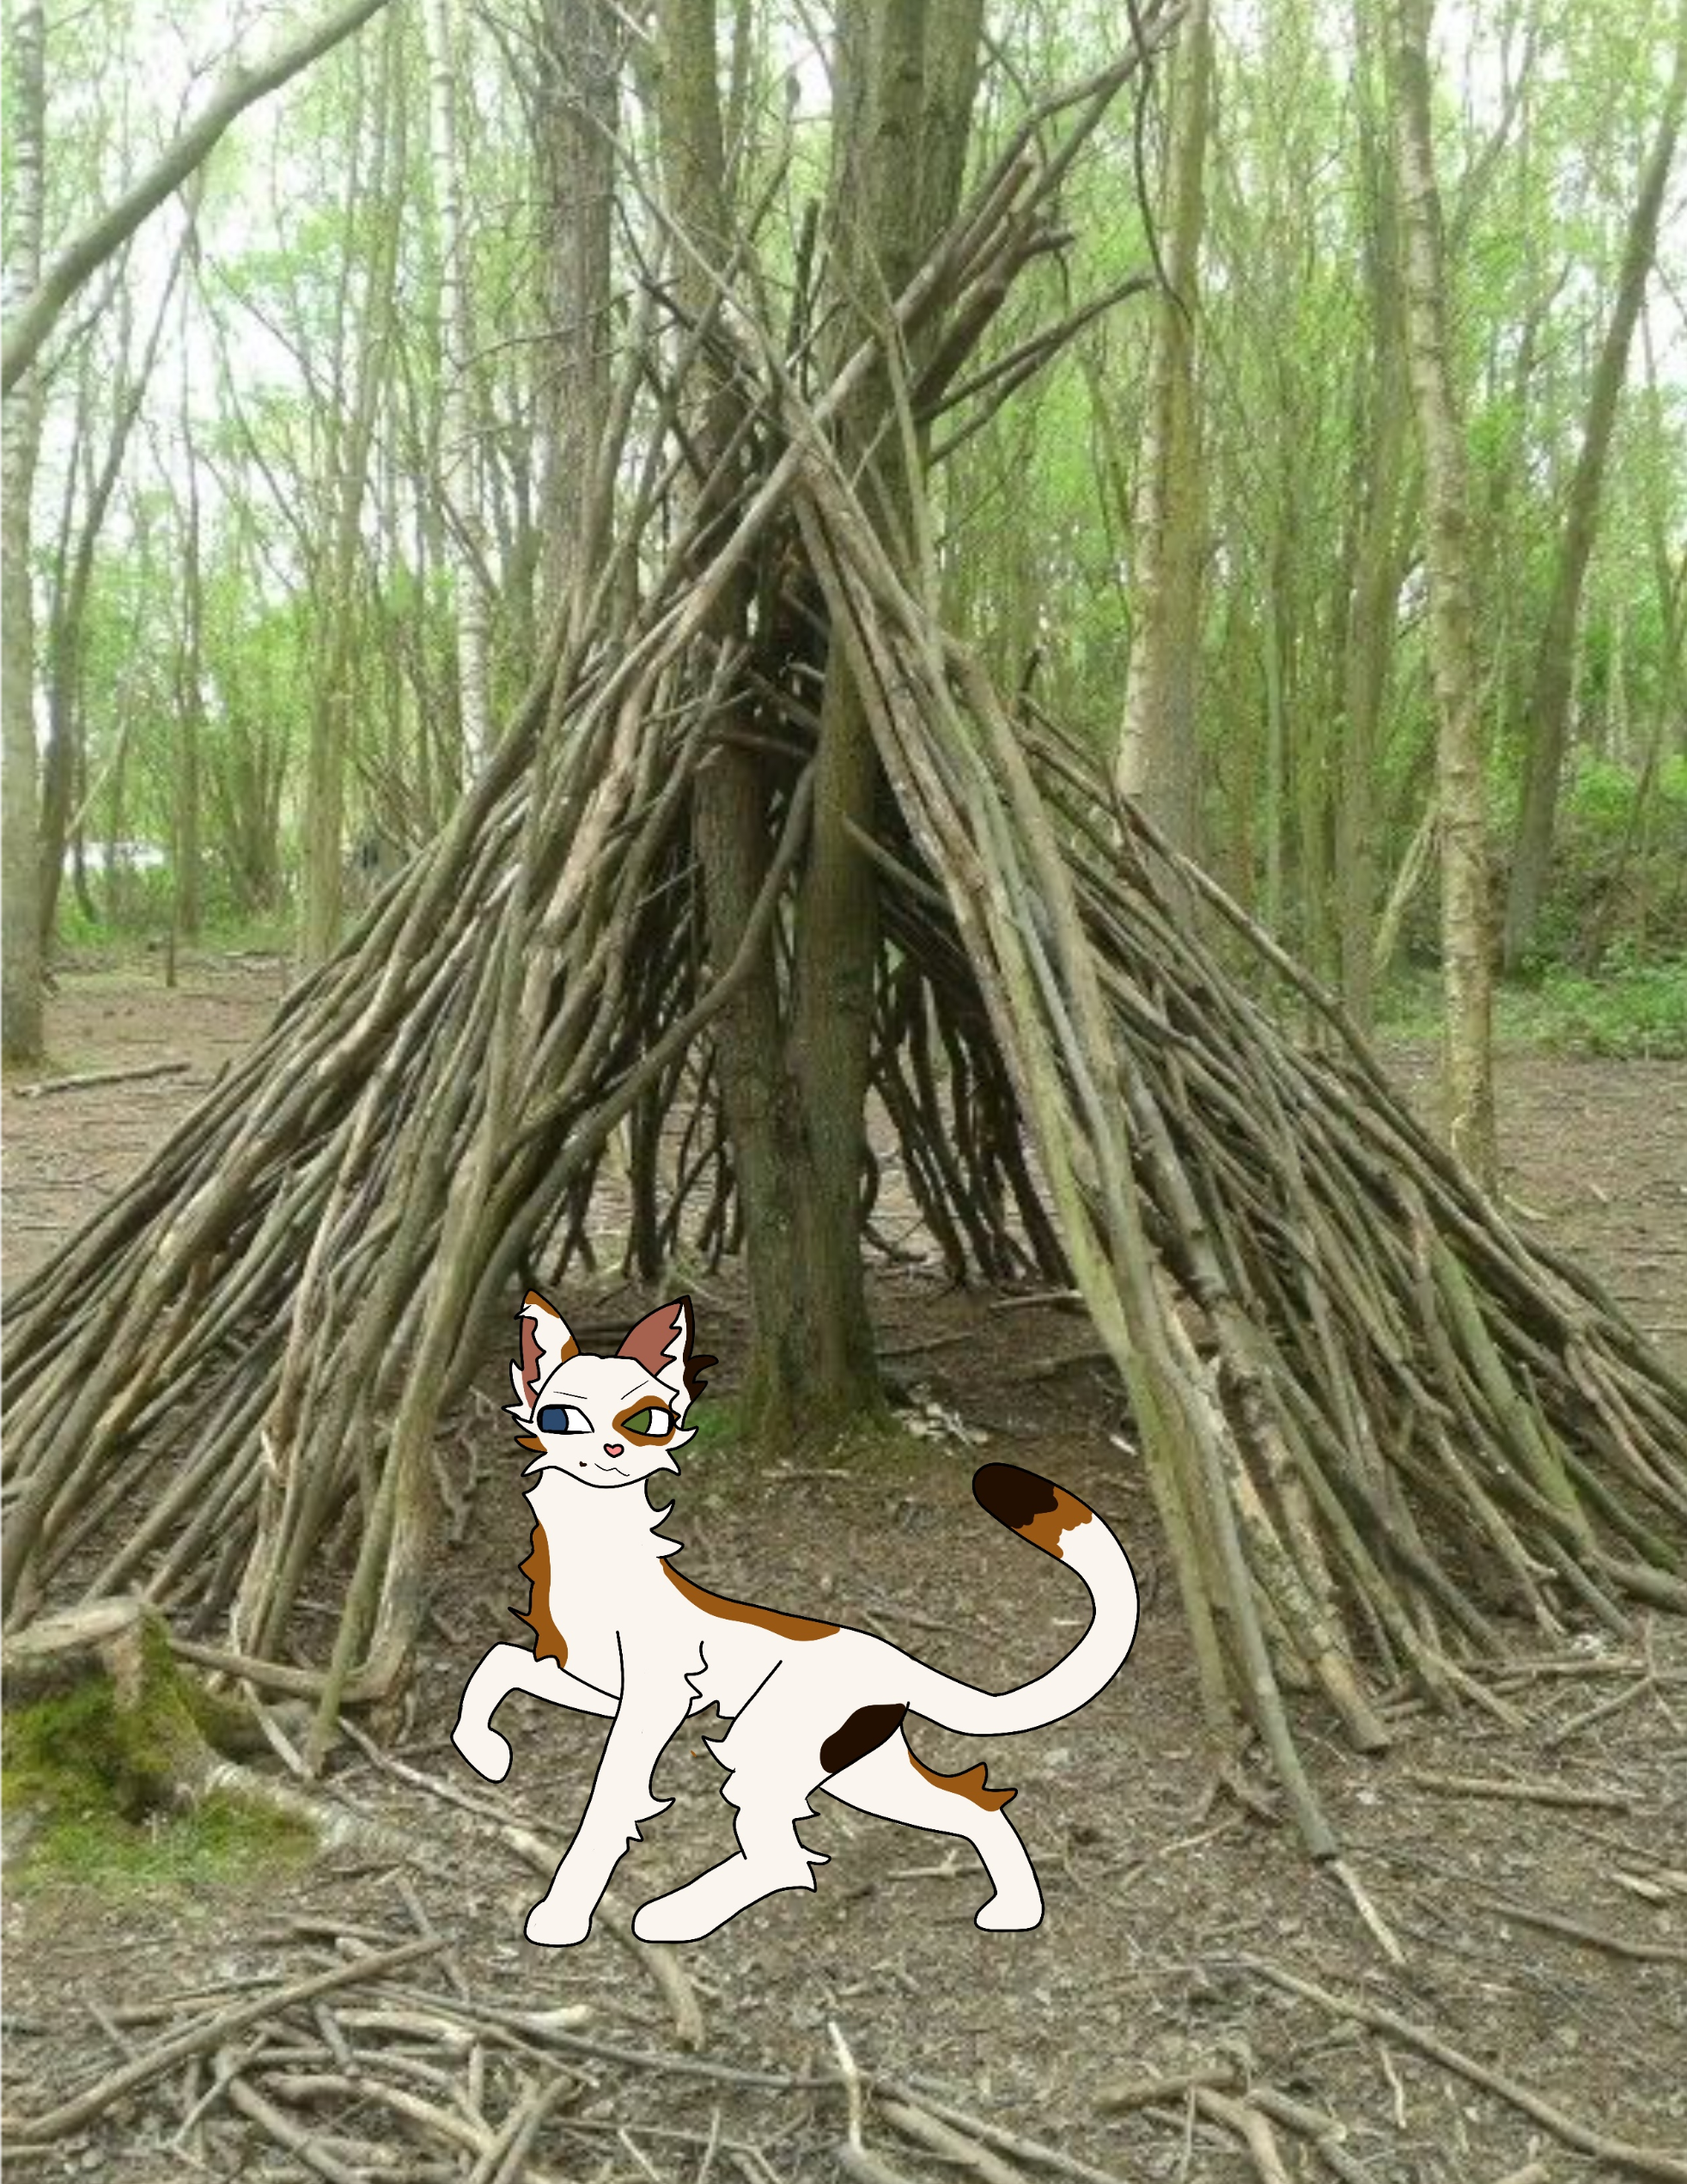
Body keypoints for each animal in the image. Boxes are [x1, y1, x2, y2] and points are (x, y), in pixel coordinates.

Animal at [451, 1290, 1139, 1946]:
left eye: (645, 1420)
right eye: (561, 1419)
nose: (612, 1450)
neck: (597, 1552)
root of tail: (890, 1657)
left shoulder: (655, 1698)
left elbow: (608, 1799)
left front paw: (564, 1914)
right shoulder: (595, 1684)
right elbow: (500, 1664)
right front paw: (485, 1753)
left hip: (769, 1749)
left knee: (786, 1858)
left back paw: (679, 1915)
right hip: (859, 1766)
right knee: (970, 1807)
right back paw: (1016, 1911)